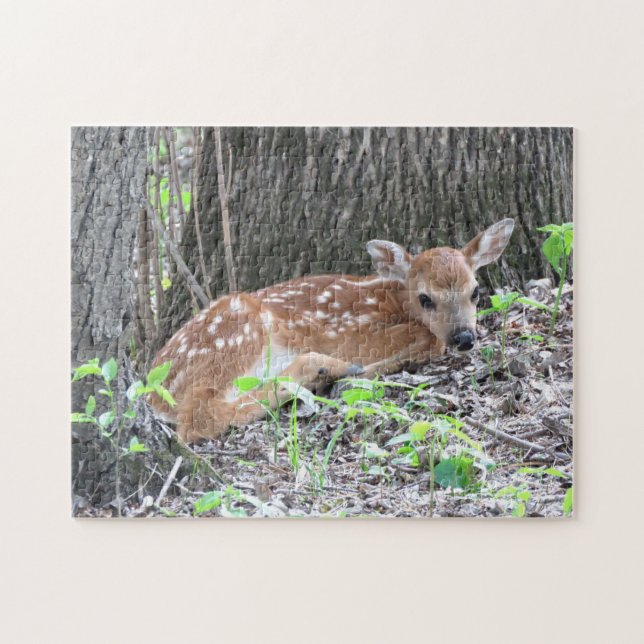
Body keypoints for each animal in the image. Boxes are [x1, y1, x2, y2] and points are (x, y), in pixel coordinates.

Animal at [149, 219, 515, 442]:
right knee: (198, 417)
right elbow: (427, 338)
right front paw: (376, 367)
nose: (464, 337)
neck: (394, 299)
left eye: (475, 291)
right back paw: (327, 371)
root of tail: (154, 393)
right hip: (235, 333)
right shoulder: (351, 332)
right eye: (426, 298)